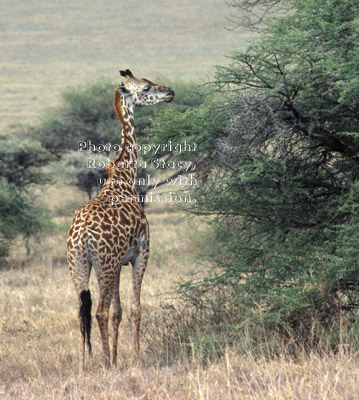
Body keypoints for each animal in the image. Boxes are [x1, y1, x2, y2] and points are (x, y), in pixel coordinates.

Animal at [68, 69, 176, 368]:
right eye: (147, 87)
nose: (170, 92)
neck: (124, 177)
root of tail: (82, 234)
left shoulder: (119, 263)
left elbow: (119, 310)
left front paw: (118, 356)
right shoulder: (141, 254)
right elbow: (135, 308)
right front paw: (135, 359)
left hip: (78, 266)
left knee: (81, 312)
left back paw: (85, 364)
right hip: (103, 265)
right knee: (98, 312)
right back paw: (105, 363)